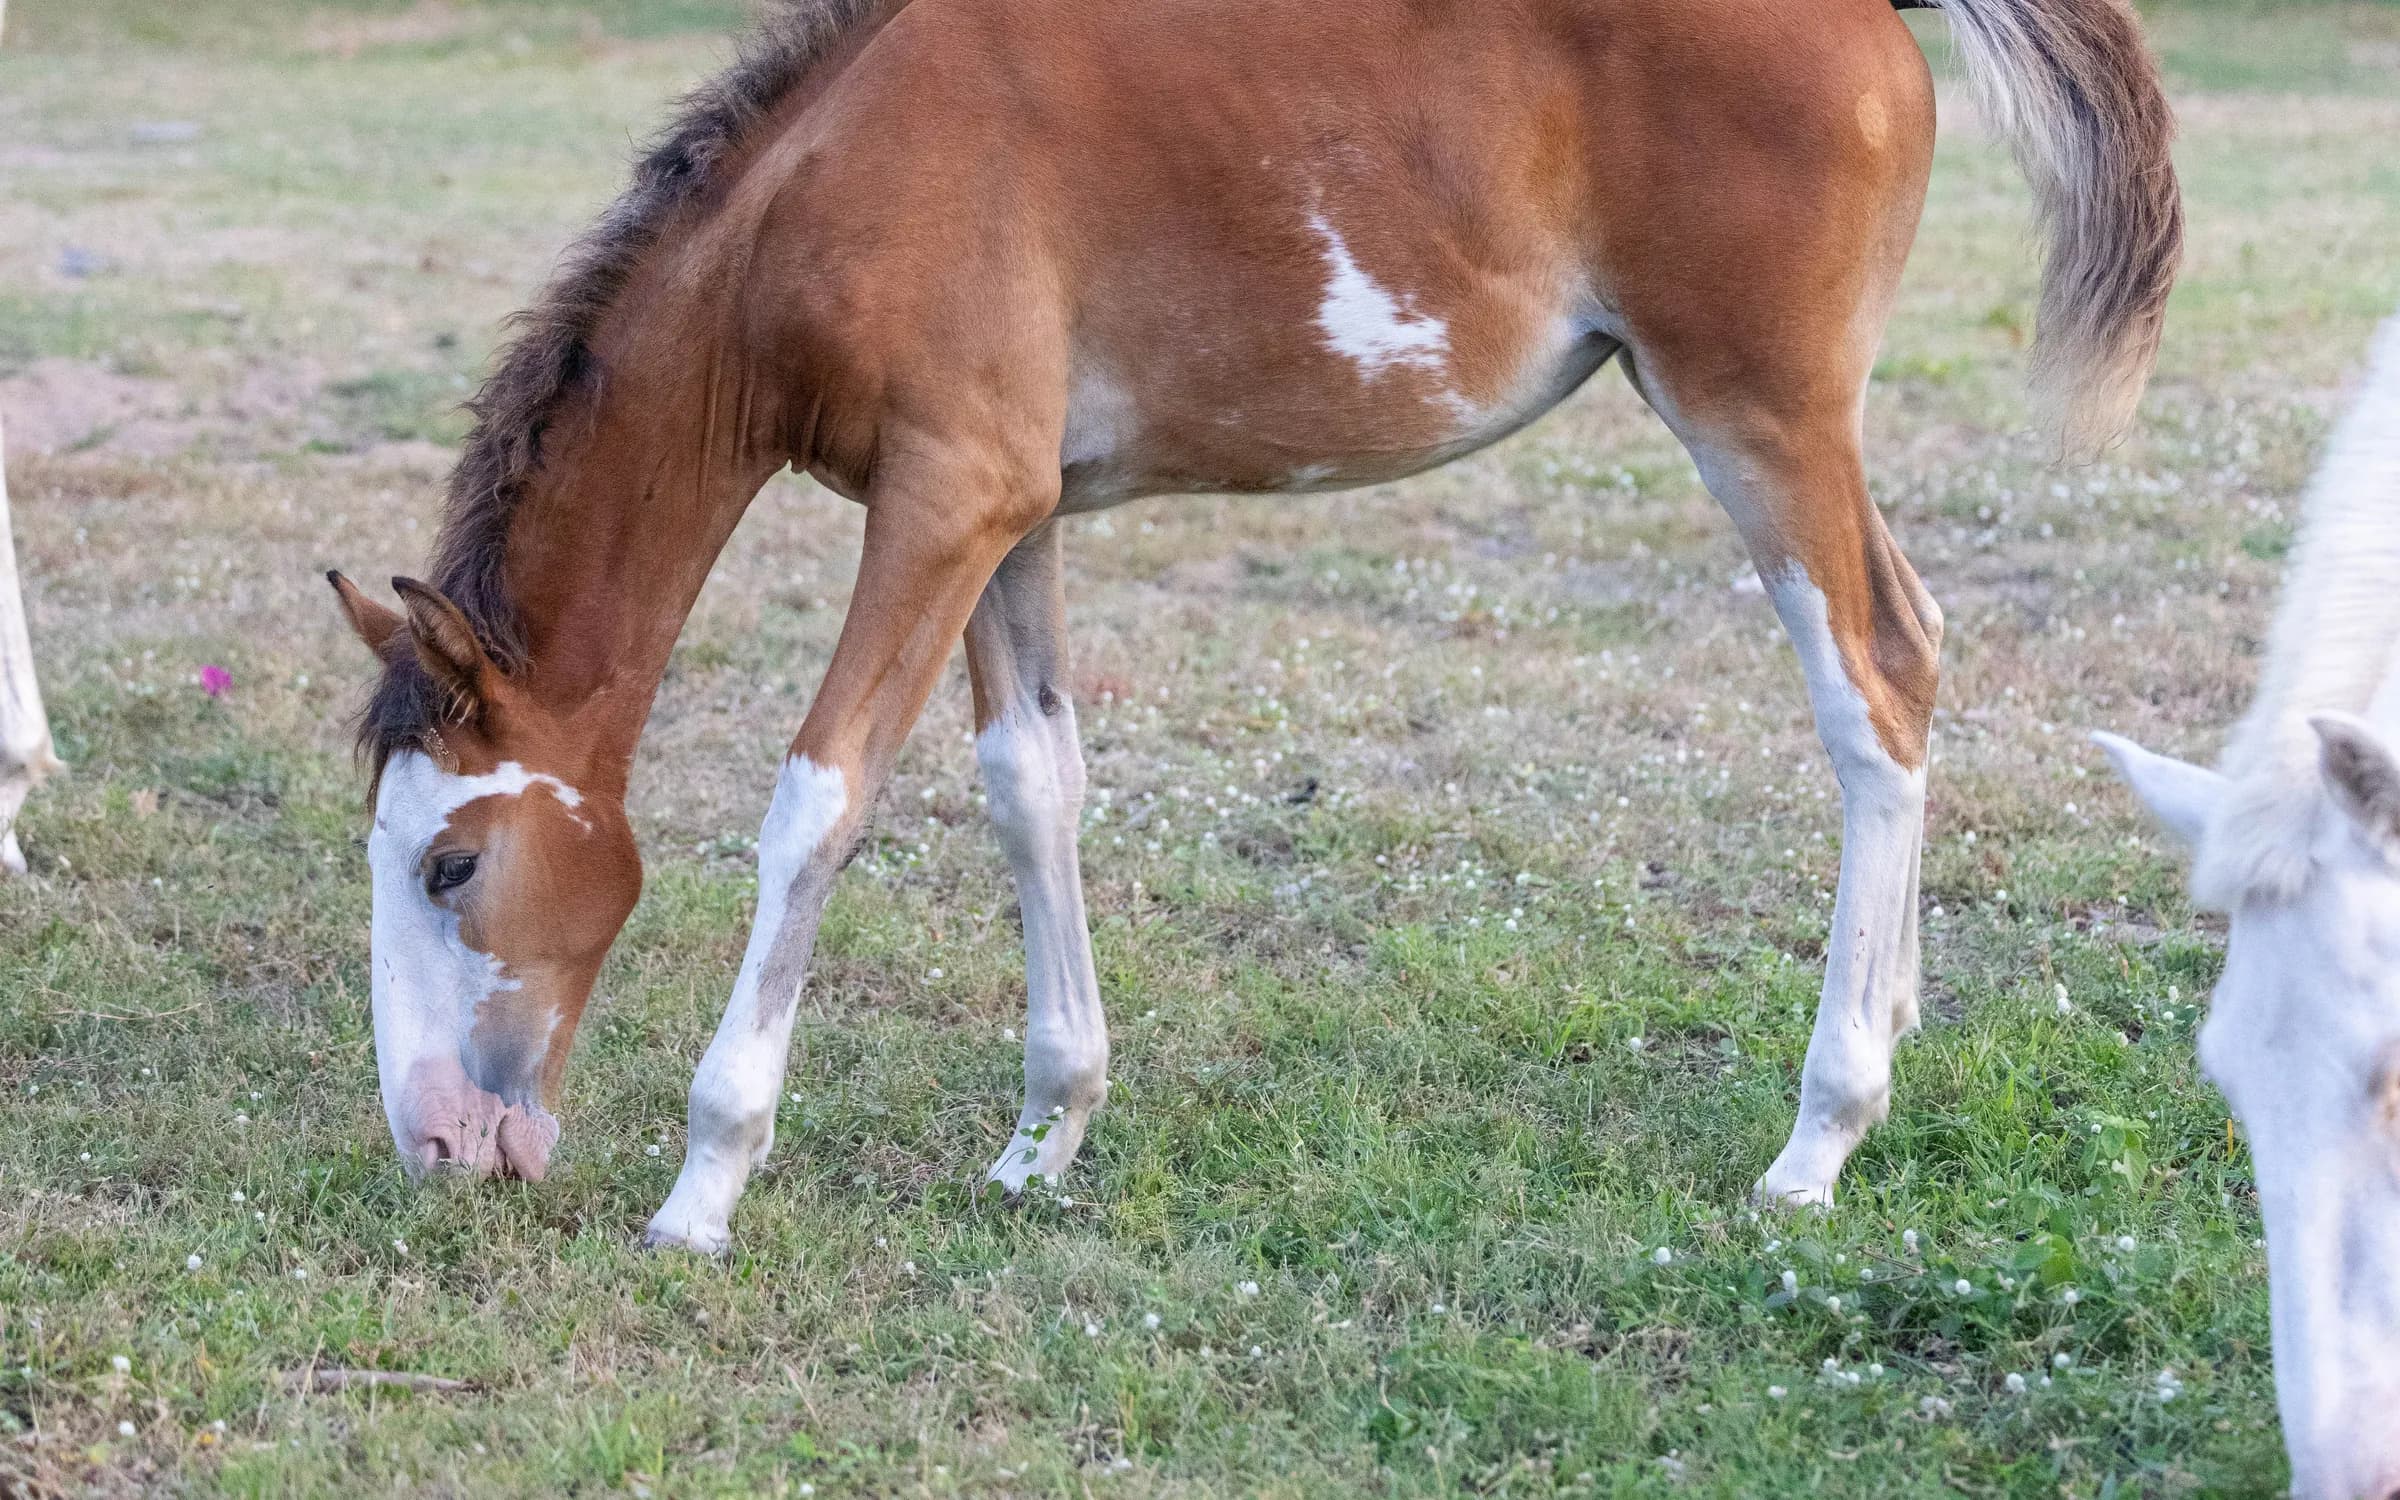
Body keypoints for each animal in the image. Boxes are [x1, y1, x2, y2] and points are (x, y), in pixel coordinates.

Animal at [326, 0, 2182, 1255]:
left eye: (450, 865)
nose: (442, 1146)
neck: (837, 187)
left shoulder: (937, 502)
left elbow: (818, 804)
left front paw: (708, 1180)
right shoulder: (1011, 512)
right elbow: (1032, 787)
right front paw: (1047, 1136)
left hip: (1756, 412)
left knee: (1875, 688)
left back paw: (1820, 1138)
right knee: (1923, 646)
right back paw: (1901, 1023)